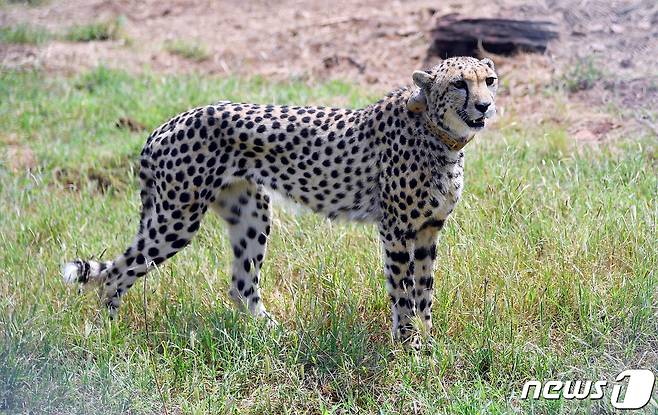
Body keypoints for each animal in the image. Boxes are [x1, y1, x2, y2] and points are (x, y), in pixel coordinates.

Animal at [64, 55, 498, 348]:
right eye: (460, 84)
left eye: (489, 80)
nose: (485, 105)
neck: (439, 134)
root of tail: (167, 123)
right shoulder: (396, 230)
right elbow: (403, 292)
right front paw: (409, 346)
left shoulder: (428, 230)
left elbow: (425, 291)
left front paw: (429, 344)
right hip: (176, 219)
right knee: (117, 273)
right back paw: (108, 333)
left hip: (251, 213)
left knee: (241, 284)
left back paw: (275, 335)